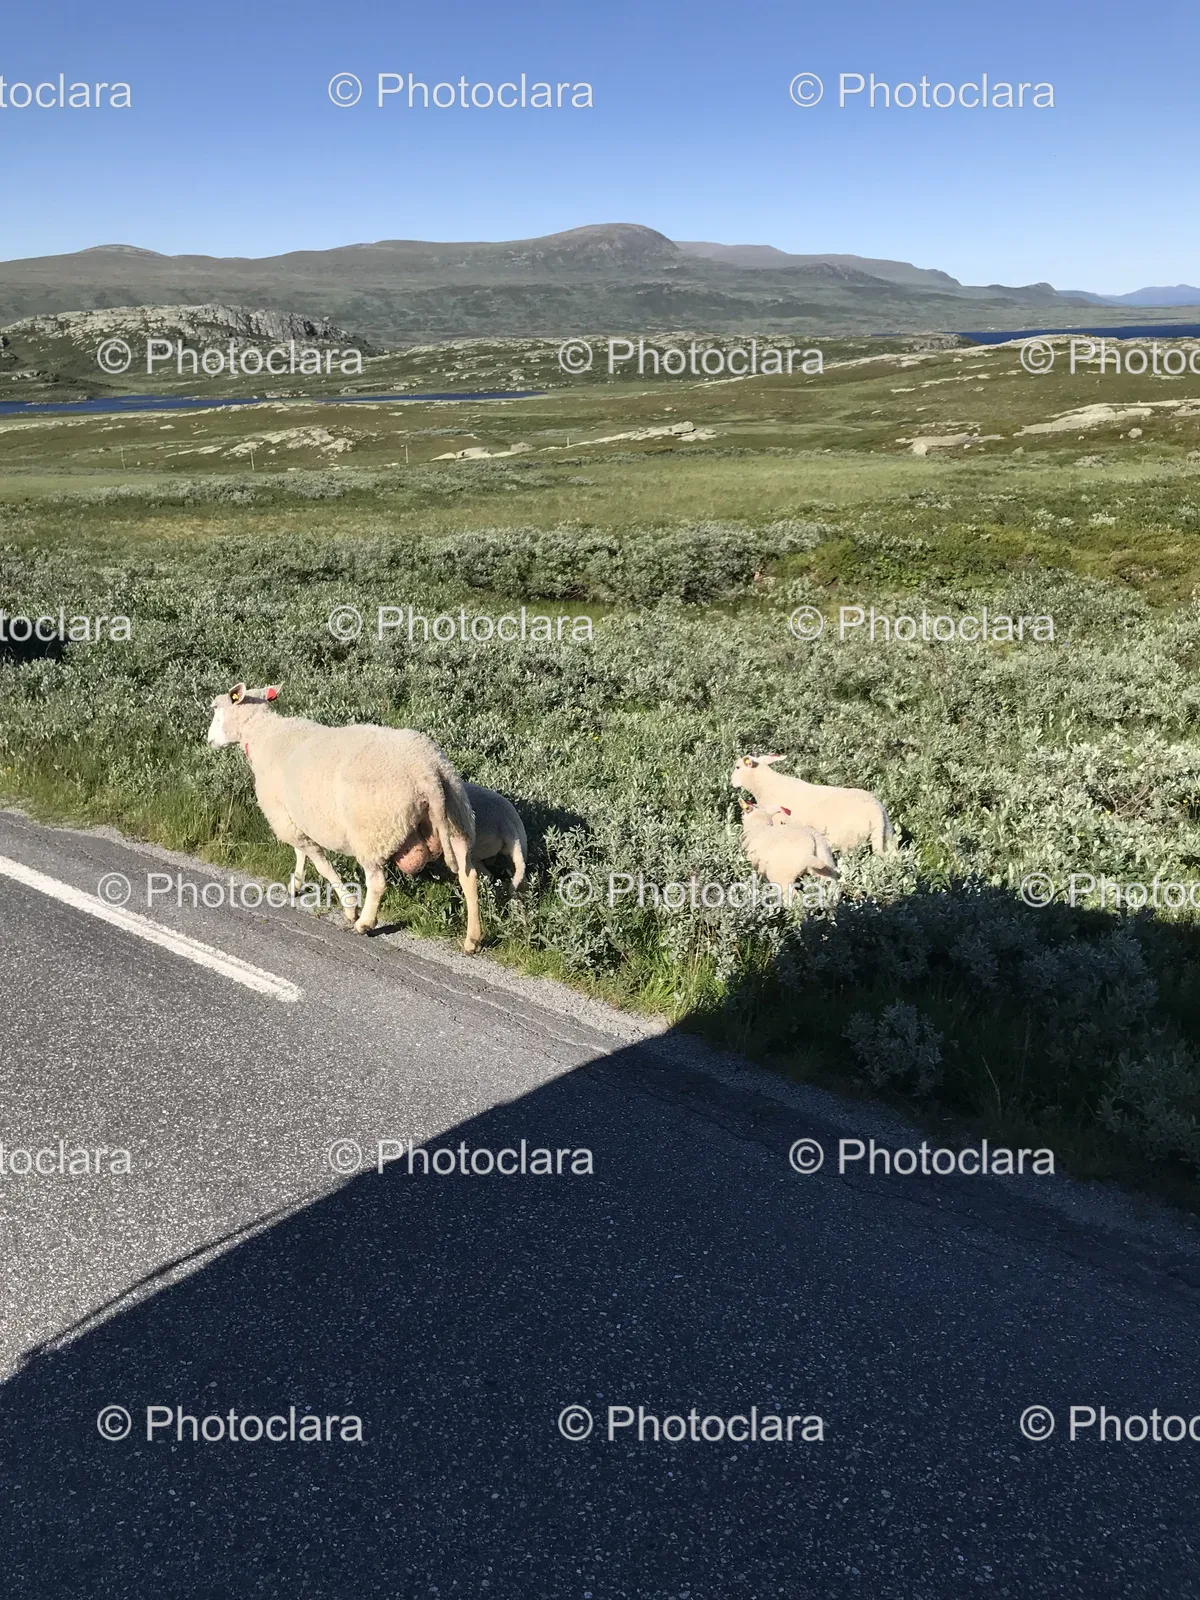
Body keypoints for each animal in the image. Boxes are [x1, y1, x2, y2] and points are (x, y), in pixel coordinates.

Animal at [206, 683, 483, 952]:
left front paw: (349, 907)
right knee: (468, 875)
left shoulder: (285, 818)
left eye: (217, 709)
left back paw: (364, 923)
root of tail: (427, 772)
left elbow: (321, 864)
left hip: (371, 831)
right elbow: (301, 854)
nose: (209, 741)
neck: (265, 734)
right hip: (457, 817)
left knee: (377, 882)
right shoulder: (294, 817)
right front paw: (296, 884)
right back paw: (472, 939)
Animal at [731, 754, 895, 855]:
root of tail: (876, 812)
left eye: (737, 767)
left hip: (849, 842)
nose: (731, 782)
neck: (766, 786)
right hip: (888, 837)